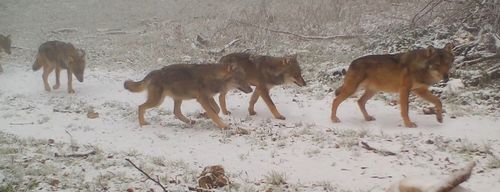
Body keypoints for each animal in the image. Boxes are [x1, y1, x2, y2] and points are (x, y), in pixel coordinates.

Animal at [123, 62, 252, 129]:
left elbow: (216, 109)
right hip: (158, 101)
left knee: (176, 112)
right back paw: (142, 124)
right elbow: (214, 114)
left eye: (245, 78)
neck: (215, 77)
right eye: (241, 80)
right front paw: (223, 126)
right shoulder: (203, 99)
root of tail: (153, 72)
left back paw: (190, 122)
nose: (251, 89)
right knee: (141, 107)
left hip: (178, 98)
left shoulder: (208, 97)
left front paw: (204, 115)